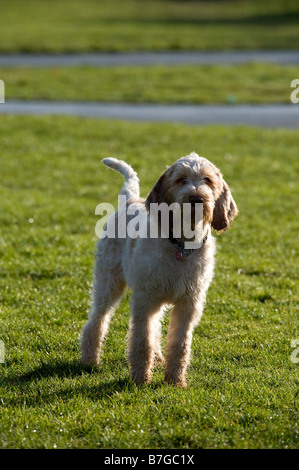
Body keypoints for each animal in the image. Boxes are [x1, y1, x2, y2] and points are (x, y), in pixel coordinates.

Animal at [80, 152, 239, 388]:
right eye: (181, 179)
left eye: (208, 180)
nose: (196, 199)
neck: (181, 245)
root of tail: (129, 200)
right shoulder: (144, 299)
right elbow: (141, 340)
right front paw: (140, 379)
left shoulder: (188, 302)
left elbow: (179, 343)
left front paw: (175, 380)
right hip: (108, 282)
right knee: (97, 320)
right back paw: (89, 360)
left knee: (154, 328)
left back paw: (156, 359)